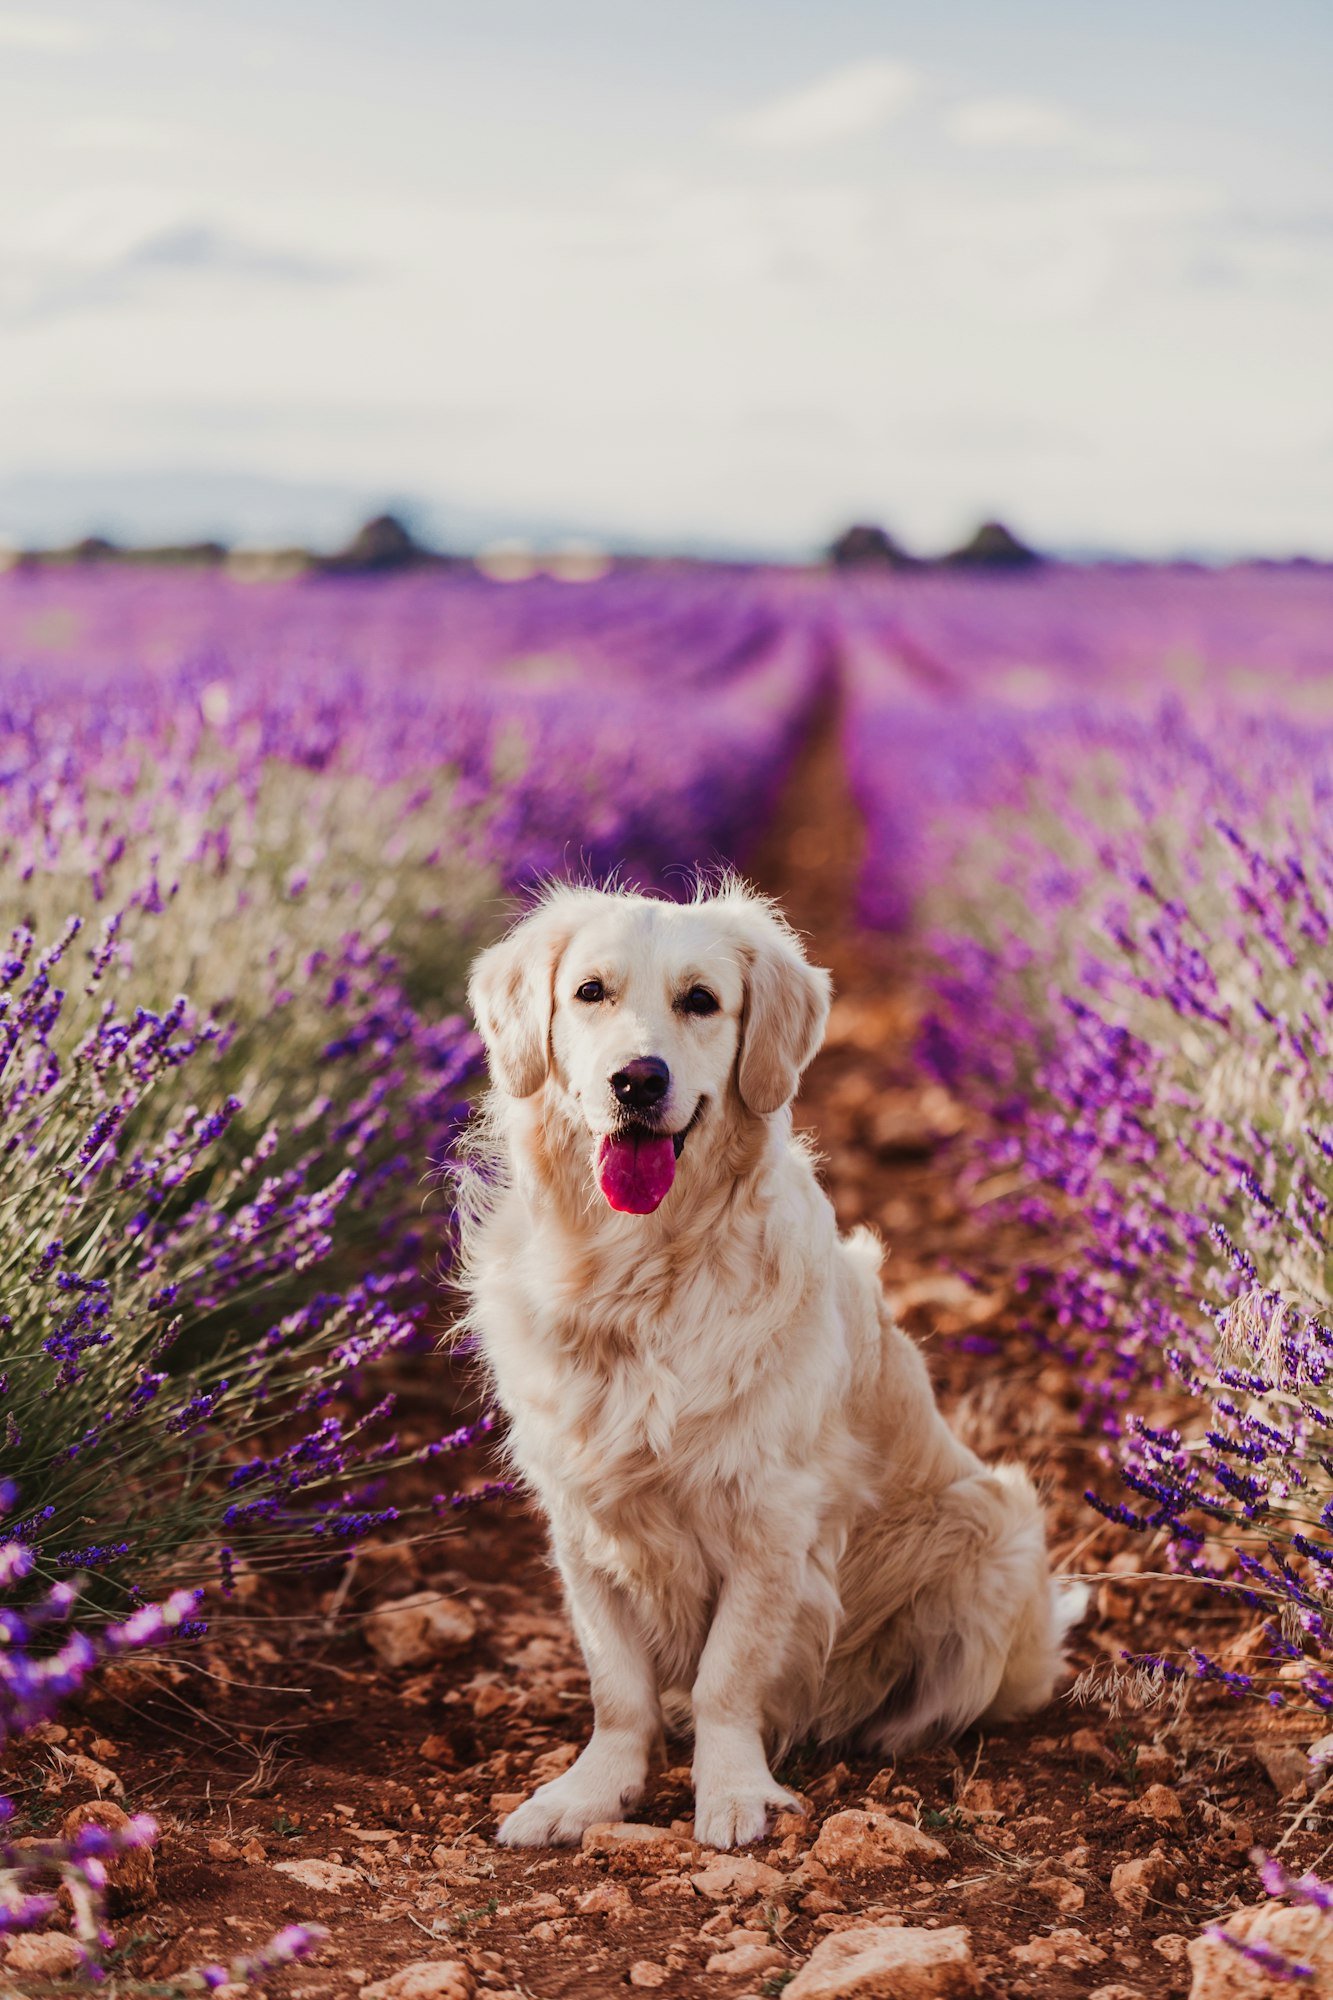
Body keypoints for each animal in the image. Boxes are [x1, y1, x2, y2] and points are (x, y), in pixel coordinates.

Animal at [456, 884, 1080, 1848]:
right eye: (590, 992)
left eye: (700, 1001)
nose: (638, 1080)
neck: (638, 1276)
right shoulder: (580, 1511)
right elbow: (618, 1686)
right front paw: (589, 1794)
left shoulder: (770, 1514)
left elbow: (727, 1675)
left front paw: (734, 1792)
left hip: (993, 1530)